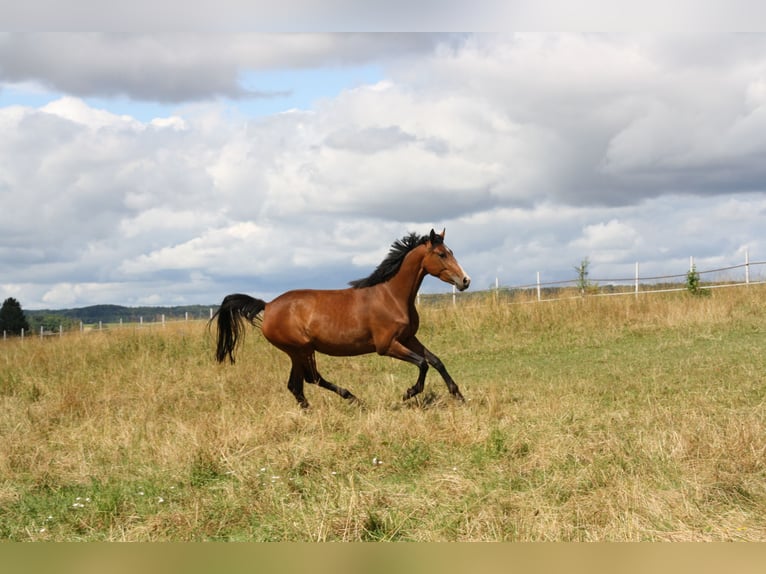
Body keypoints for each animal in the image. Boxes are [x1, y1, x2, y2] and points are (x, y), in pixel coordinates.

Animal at [213, 230, 472, 410]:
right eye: (441, 254)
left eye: (451, 252)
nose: (465, 281)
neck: (391, 296)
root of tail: (267, 305)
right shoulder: (387, 346)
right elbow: (423, 363)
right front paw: (409, 393)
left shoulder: (408, 338)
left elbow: (436, 361)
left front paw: (459, 396)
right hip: (301, 349)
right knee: (309, 380)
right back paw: (352, 399)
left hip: (299, 352)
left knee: (298, 384)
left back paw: (320, 408)